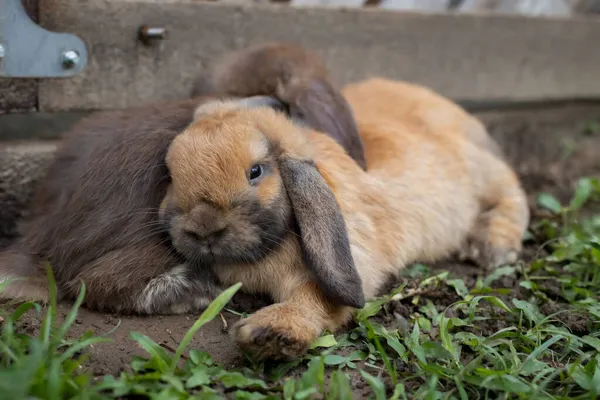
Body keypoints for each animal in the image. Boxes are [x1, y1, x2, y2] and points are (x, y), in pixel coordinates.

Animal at [161, 76, 528, 360]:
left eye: (256, 171)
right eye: (171, 173)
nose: (203, 228)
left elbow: (312, 299)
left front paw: (269, 334)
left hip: (486, 175)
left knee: (514, 197)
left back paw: (490, 247)